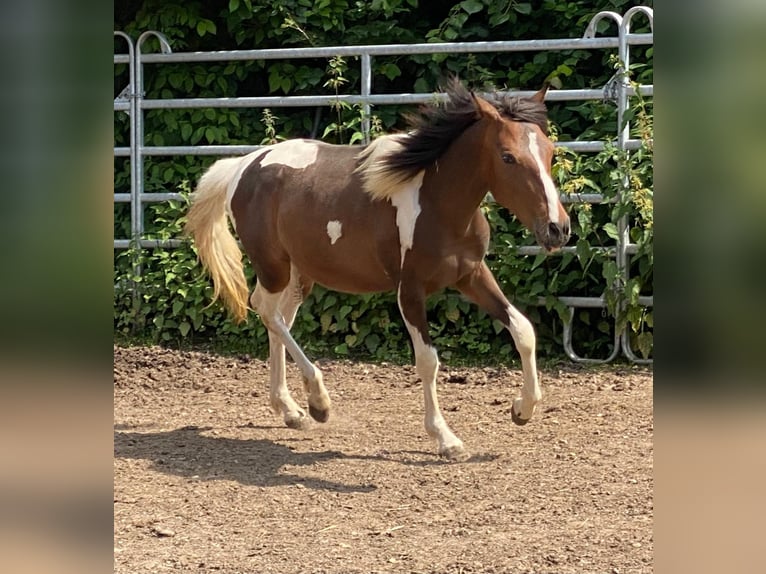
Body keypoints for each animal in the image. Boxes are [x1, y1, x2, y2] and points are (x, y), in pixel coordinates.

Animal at [184, 79, 568, 462]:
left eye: (550, 152)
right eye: (507, 157)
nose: (557, 229)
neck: (437, 204)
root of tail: (243, 166)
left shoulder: (471, 276)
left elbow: (523, 330)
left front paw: (522, 409)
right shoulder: (409, 291)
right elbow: (428, 361)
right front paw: (446, 439)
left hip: (298, 274)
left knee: (280, 318)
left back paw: (292, 411)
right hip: (273, 265)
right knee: (265, 309)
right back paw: (318, 402)